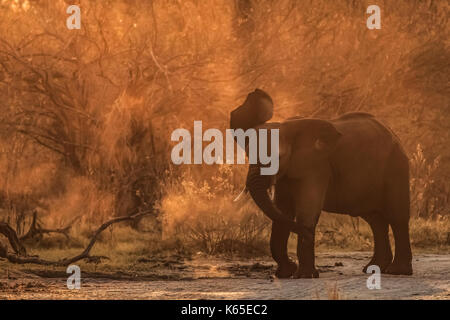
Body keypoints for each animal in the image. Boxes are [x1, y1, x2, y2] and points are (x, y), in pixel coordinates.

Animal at [230, 92, 414, 278]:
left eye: (278, 157)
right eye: (248, 155)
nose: (308, 234)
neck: (288, 129)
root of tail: (392, 133)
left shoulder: (316, 166)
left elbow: (306, 211)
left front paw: (304, 275)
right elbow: (282, 211)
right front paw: (285, 273)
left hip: (396, 166)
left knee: (397, 217)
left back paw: (397, 271)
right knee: (375, 220)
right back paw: (373, 268)